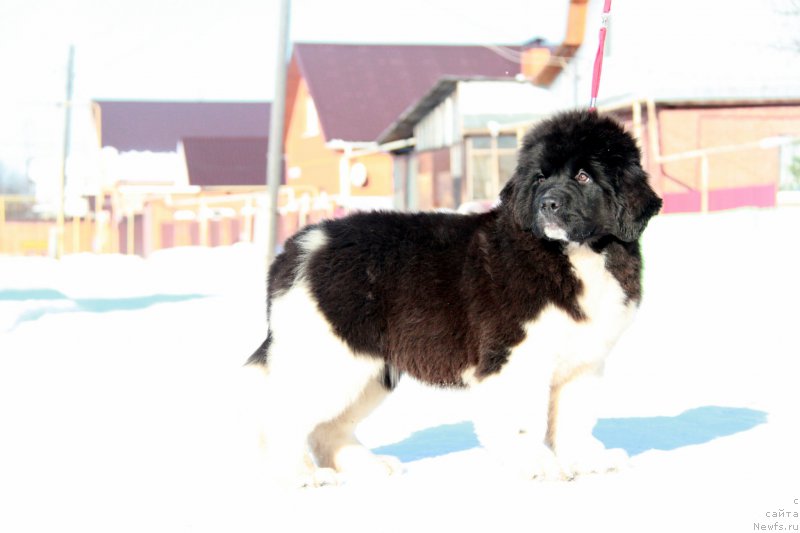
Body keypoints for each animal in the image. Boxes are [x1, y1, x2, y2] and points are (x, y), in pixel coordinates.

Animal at [248, 110, 664, 484]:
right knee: (283, 417)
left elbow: (574, 418)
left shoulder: (584, 361)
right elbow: (520, 420)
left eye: (583, 176)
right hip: (330, 357)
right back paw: (299, 476)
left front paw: (589, 461)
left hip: (369, 366)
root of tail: (296, 250)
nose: (548, 203)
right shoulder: (514, 355)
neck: (572, 254)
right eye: (540, 178)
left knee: (327, 427)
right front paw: (536, 465)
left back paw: (369, 467)